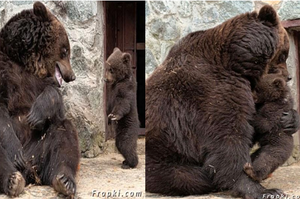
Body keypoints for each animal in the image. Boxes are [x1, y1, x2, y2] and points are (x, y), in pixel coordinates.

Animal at [0, 1, 79, 197]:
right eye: (65, 50)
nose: (72, 76)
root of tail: (31, 171)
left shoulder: (40, 83)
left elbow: (54, 99)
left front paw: (35, 116)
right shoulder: (5, 72)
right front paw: (16, 154)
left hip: (41, 145)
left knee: (64, 134)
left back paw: (64, 180)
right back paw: (13, 179)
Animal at [146, 4, 298, 199]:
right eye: (284, 54)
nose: (288, 77)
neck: (236, 63)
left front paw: (290, 119)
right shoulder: (211, 91)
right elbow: (228, 138)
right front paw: (264, 190)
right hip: (165, 154)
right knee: (189, 176)